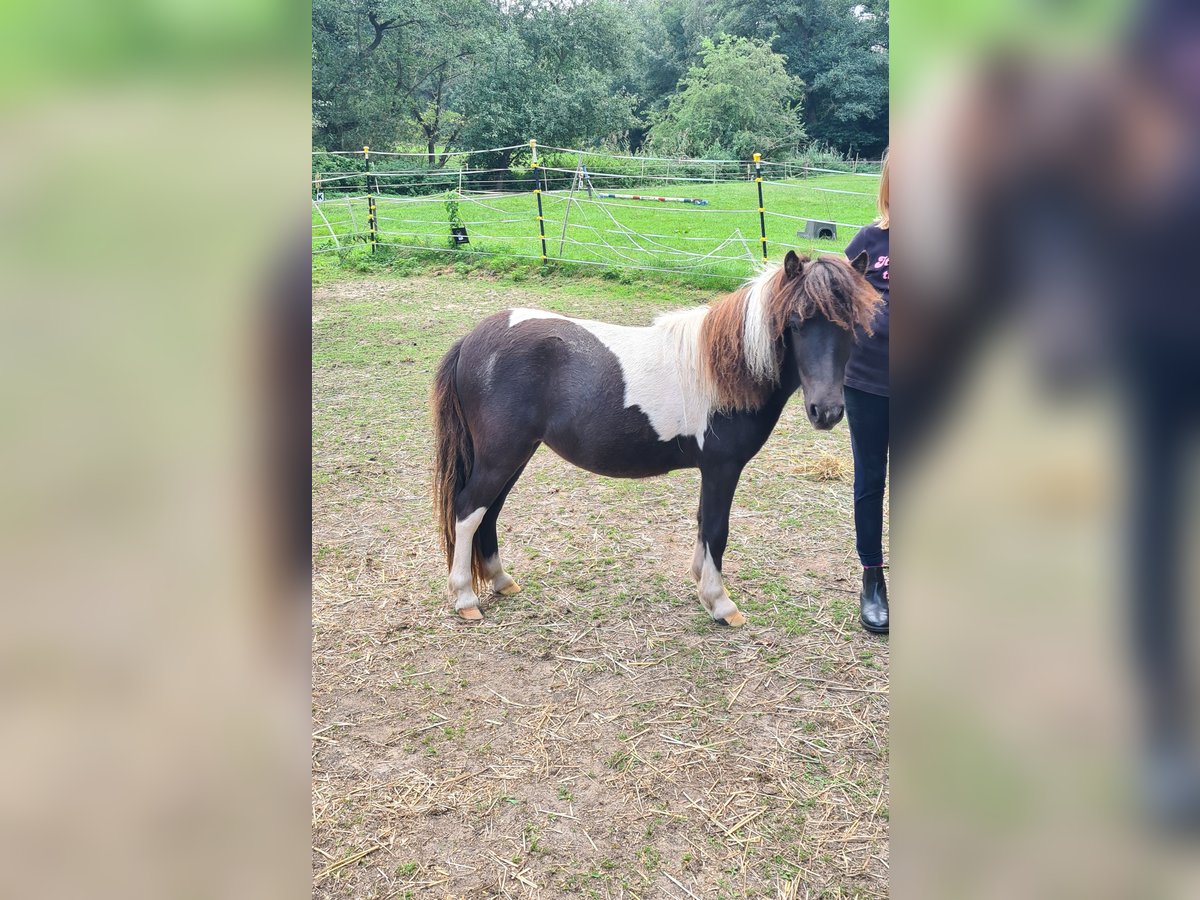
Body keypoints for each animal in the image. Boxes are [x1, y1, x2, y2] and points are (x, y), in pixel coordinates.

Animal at [434, 250, 883, 624]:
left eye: (851, 326)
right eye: (795, 324)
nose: (826, 412)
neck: (725, 369)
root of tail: (473, 340)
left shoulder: (712, 471)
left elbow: (703, 524)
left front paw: (702, 585)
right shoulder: (722, 468)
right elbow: (716, 530)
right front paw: (721, 603)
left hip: (515, 456)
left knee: (488, 512)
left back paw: (501, 581)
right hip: (502, 455)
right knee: (469, 510)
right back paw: (465, 599)